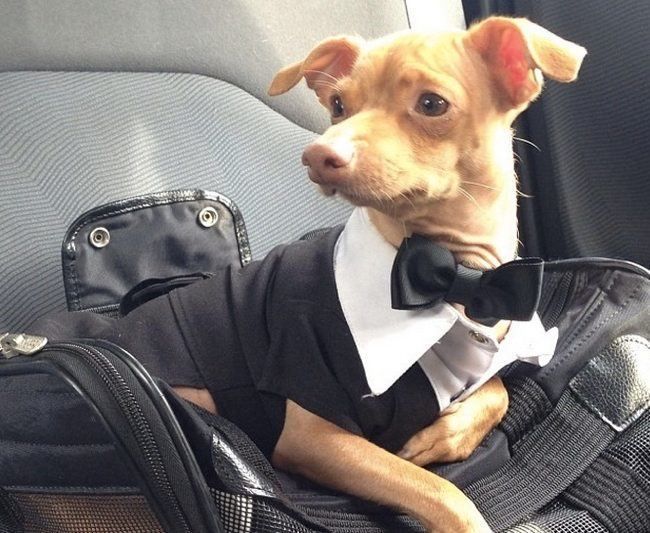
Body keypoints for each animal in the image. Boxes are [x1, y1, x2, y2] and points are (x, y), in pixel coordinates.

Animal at [260, 15, 584, 532]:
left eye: (432, 104)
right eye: (338, 106)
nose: (317, 155)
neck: (459, 274)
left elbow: (496, 389)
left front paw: (445, 434)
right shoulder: (312, 436)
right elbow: (441, 492)